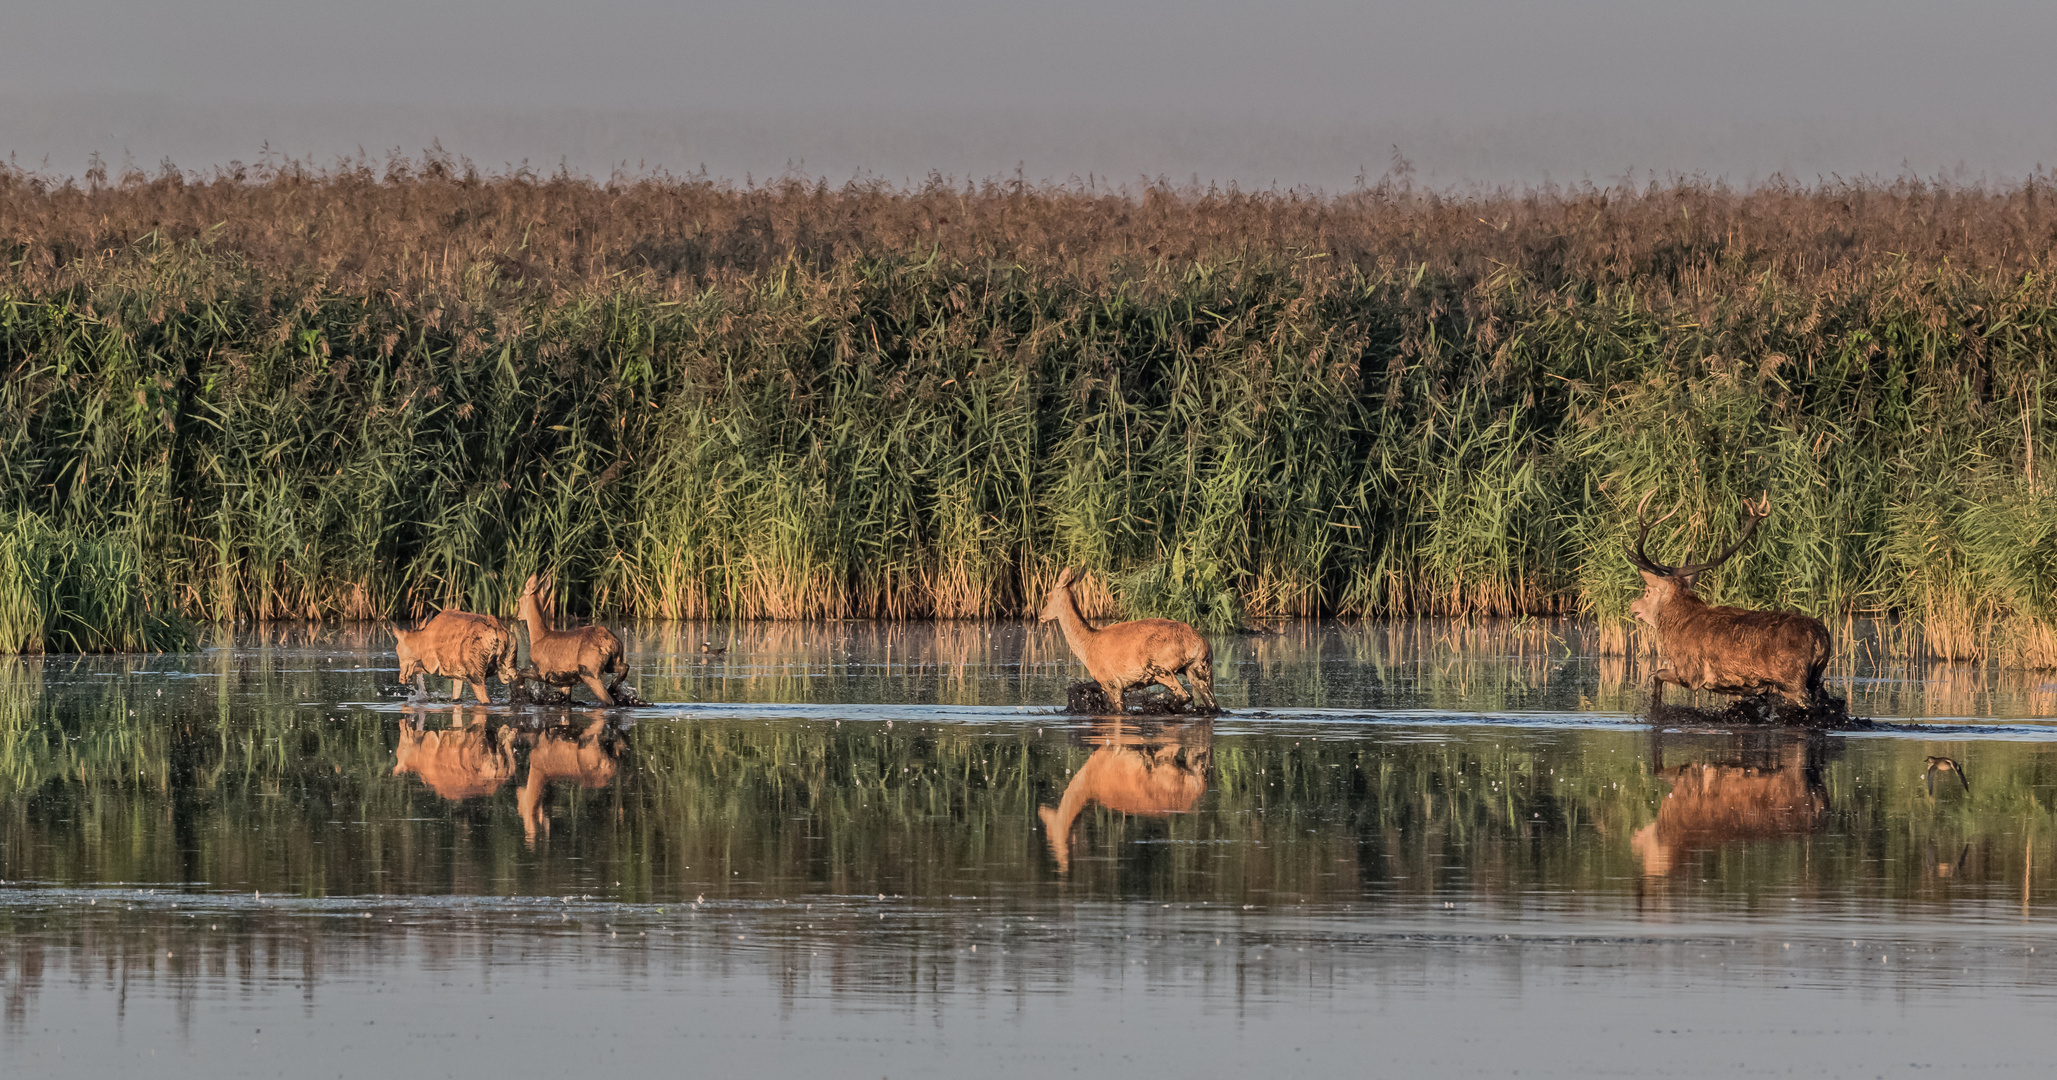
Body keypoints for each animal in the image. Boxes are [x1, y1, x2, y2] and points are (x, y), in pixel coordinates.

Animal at [514, 571, 625, 707]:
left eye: (519, 600)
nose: (518, 615)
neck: (538, 637)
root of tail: (612, 642)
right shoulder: (565, 682)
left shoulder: (541, 670)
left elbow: (520, 672)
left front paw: (520, 694)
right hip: (612, 662)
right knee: (624, 667)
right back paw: (613, 688)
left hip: (589, 671)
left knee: (608, 700)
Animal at [1036, 567, 1209, 711]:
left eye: (1048, 596)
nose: (1041, 615)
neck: (1086, 645)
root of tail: (1199, 643)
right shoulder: (1103, 682)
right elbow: (1078, 688)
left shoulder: (1112, 682)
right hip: (1200, 669)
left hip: (1159, 667)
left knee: (1184, 695)